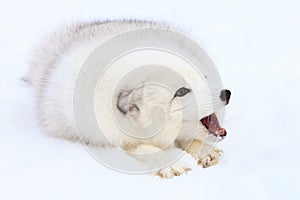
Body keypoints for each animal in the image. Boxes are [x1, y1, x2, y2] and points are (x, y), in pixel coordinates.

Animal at [25, 19, 232, 178]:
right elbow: (143, 149)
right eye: (181, 91)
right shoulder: (108, 136)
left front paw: (205, 151)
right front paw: (171, 164)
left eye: (204, 77)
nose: (226, 93)